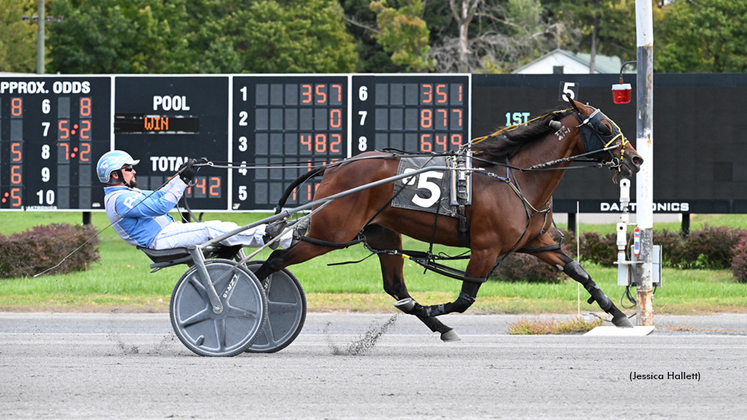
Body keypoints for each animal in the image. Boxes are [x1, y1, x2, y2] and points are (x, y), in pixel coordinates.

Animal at [254, 101, 644, 342]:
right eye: (605, 126)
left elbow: (580, 272)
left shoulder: (535, 242)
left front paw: (619, 314)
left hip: (383, 235)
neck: (516, 177)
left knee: (396, 287)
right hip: (330, 232)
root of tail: (335, 166)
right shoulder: (486, 247)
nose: (636, 159)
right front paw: (436, 307)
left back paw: (435, 324)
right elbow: (465, 299)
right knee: (274, 261)